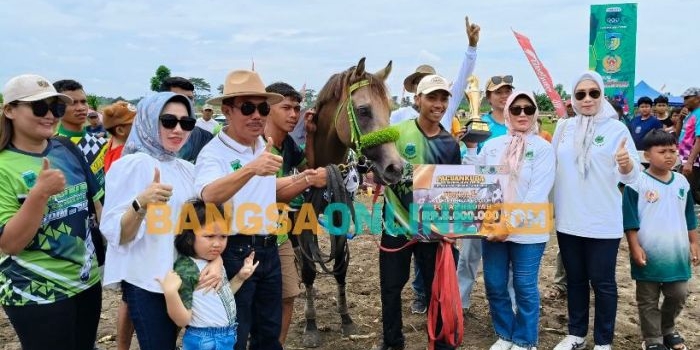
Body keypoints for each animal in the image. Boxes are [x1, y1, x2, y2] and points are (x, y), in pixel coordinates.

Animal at [300, 57, 404, 348]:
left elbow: (339, 266)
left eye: (390, 110)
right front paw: (311, 325)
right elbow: (309, 269)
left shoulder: (339, 214)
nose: (395, 168)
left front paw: (346, 319)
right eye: (363, 110)